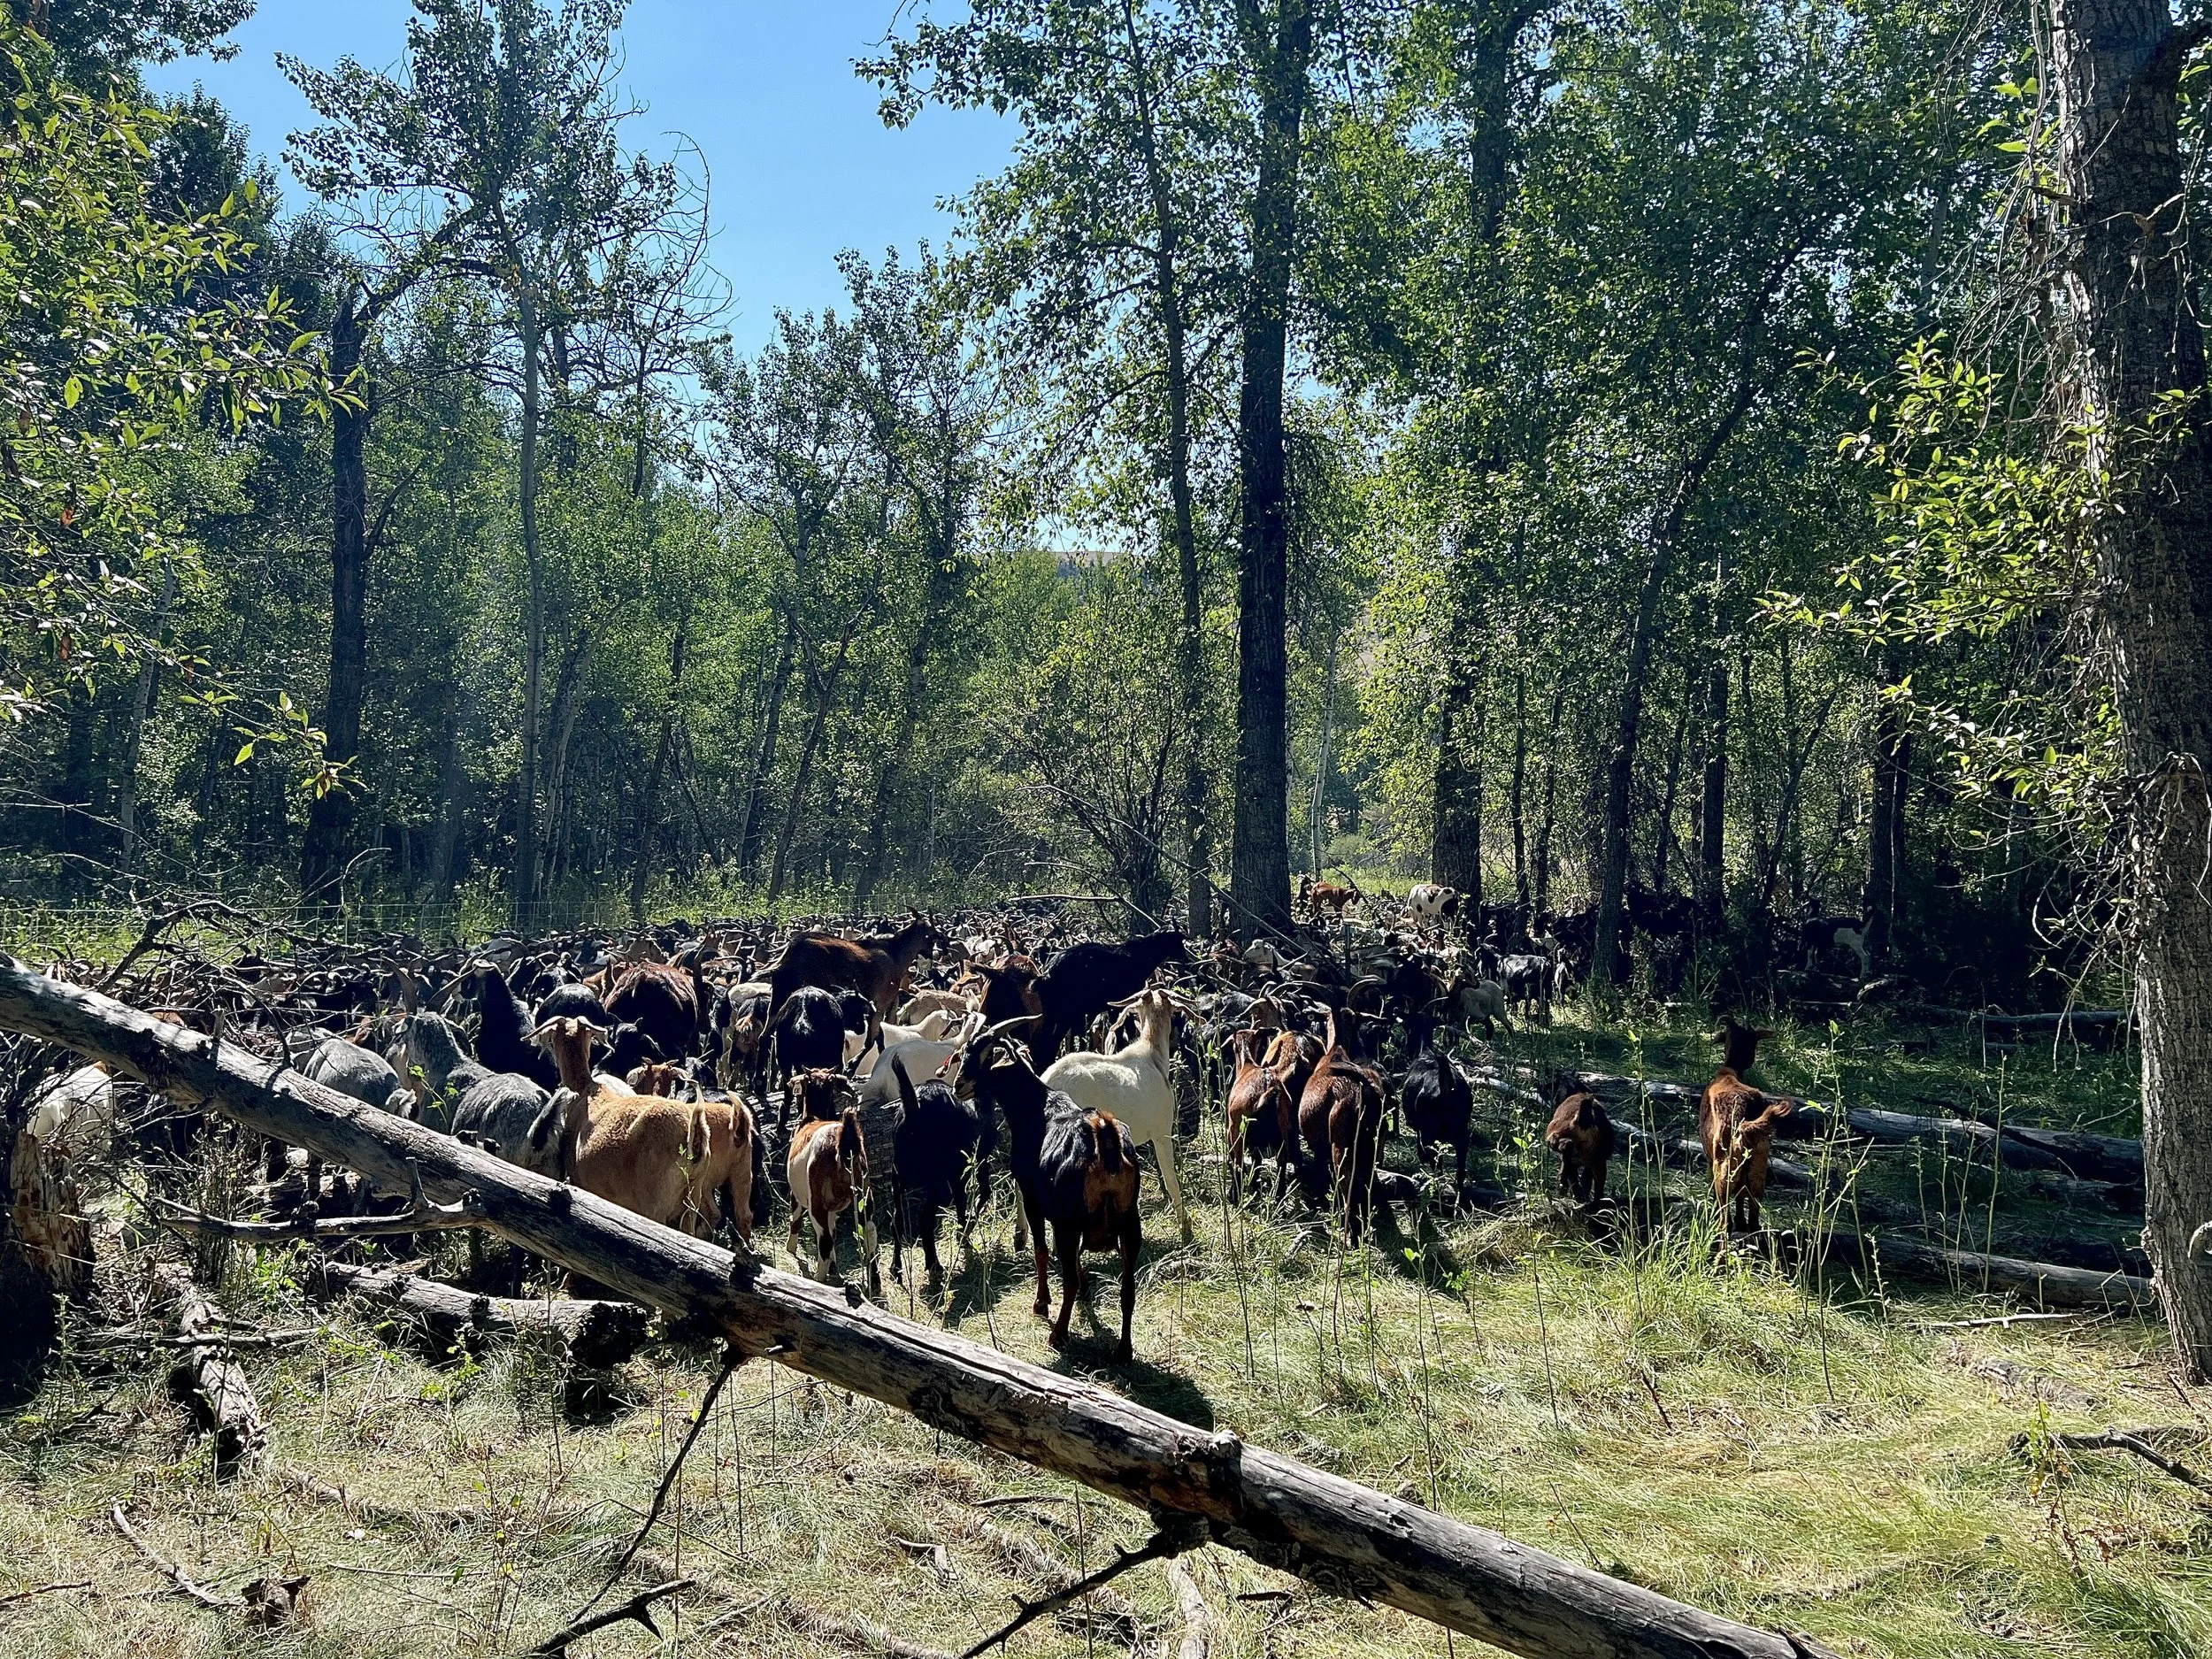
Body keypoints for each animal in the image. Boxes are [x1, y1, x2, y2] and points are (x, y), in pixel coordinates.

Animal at [952, 1025, 1140, 1361]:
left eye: (987, 1056)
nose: (958, 1085)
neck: (1037, 1108)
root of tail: (1106, 1145)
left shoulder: (1034, 1200)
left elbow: (1041, 1251)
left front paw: (1041, 1303)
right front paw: (1085, 1290)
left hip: (1071, 1223)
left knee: (1067, 1278)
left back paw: (1059, 1335)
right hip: (1130, 1223)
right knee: (1128, 1289)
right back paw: (1123, 1349)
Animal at [1698, 1019, 1792, 1232]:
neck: (1730, 1070)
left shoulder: (1710, 1155)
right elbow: (1741, 1197)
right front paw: (1741, 1220)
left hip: (1725, 1167)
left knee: (1725, 1217)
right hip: (1759, 1165)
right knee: (1754, 1218)